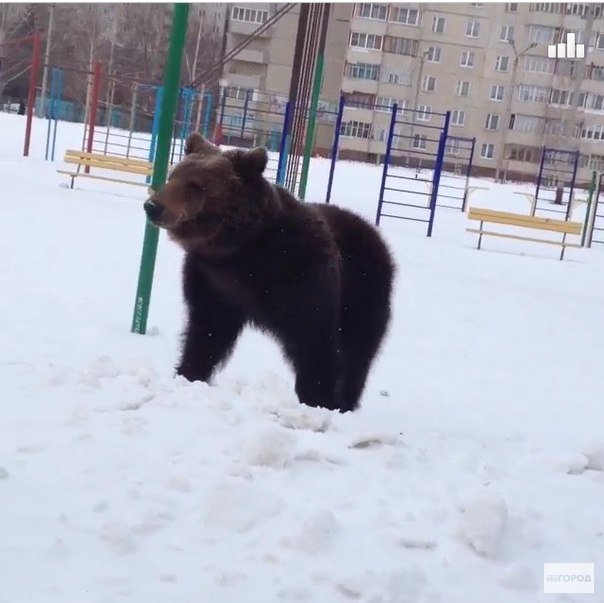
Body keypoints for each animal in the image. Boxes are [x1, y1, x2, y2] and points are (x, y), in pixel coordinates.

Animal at [144, 134, 394, 412]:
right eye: (173, 174)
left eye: (196, 184)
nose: (153, 206)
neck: (240, 248)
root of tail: (375, 233)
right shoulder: (212, 281)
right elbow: (206, 332)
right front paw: (188, 372)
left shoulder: (301, 273)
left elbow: (314, 339)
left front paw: (319, 398)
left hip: (363, 293)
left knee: (356, 352)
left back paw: (345, 400)